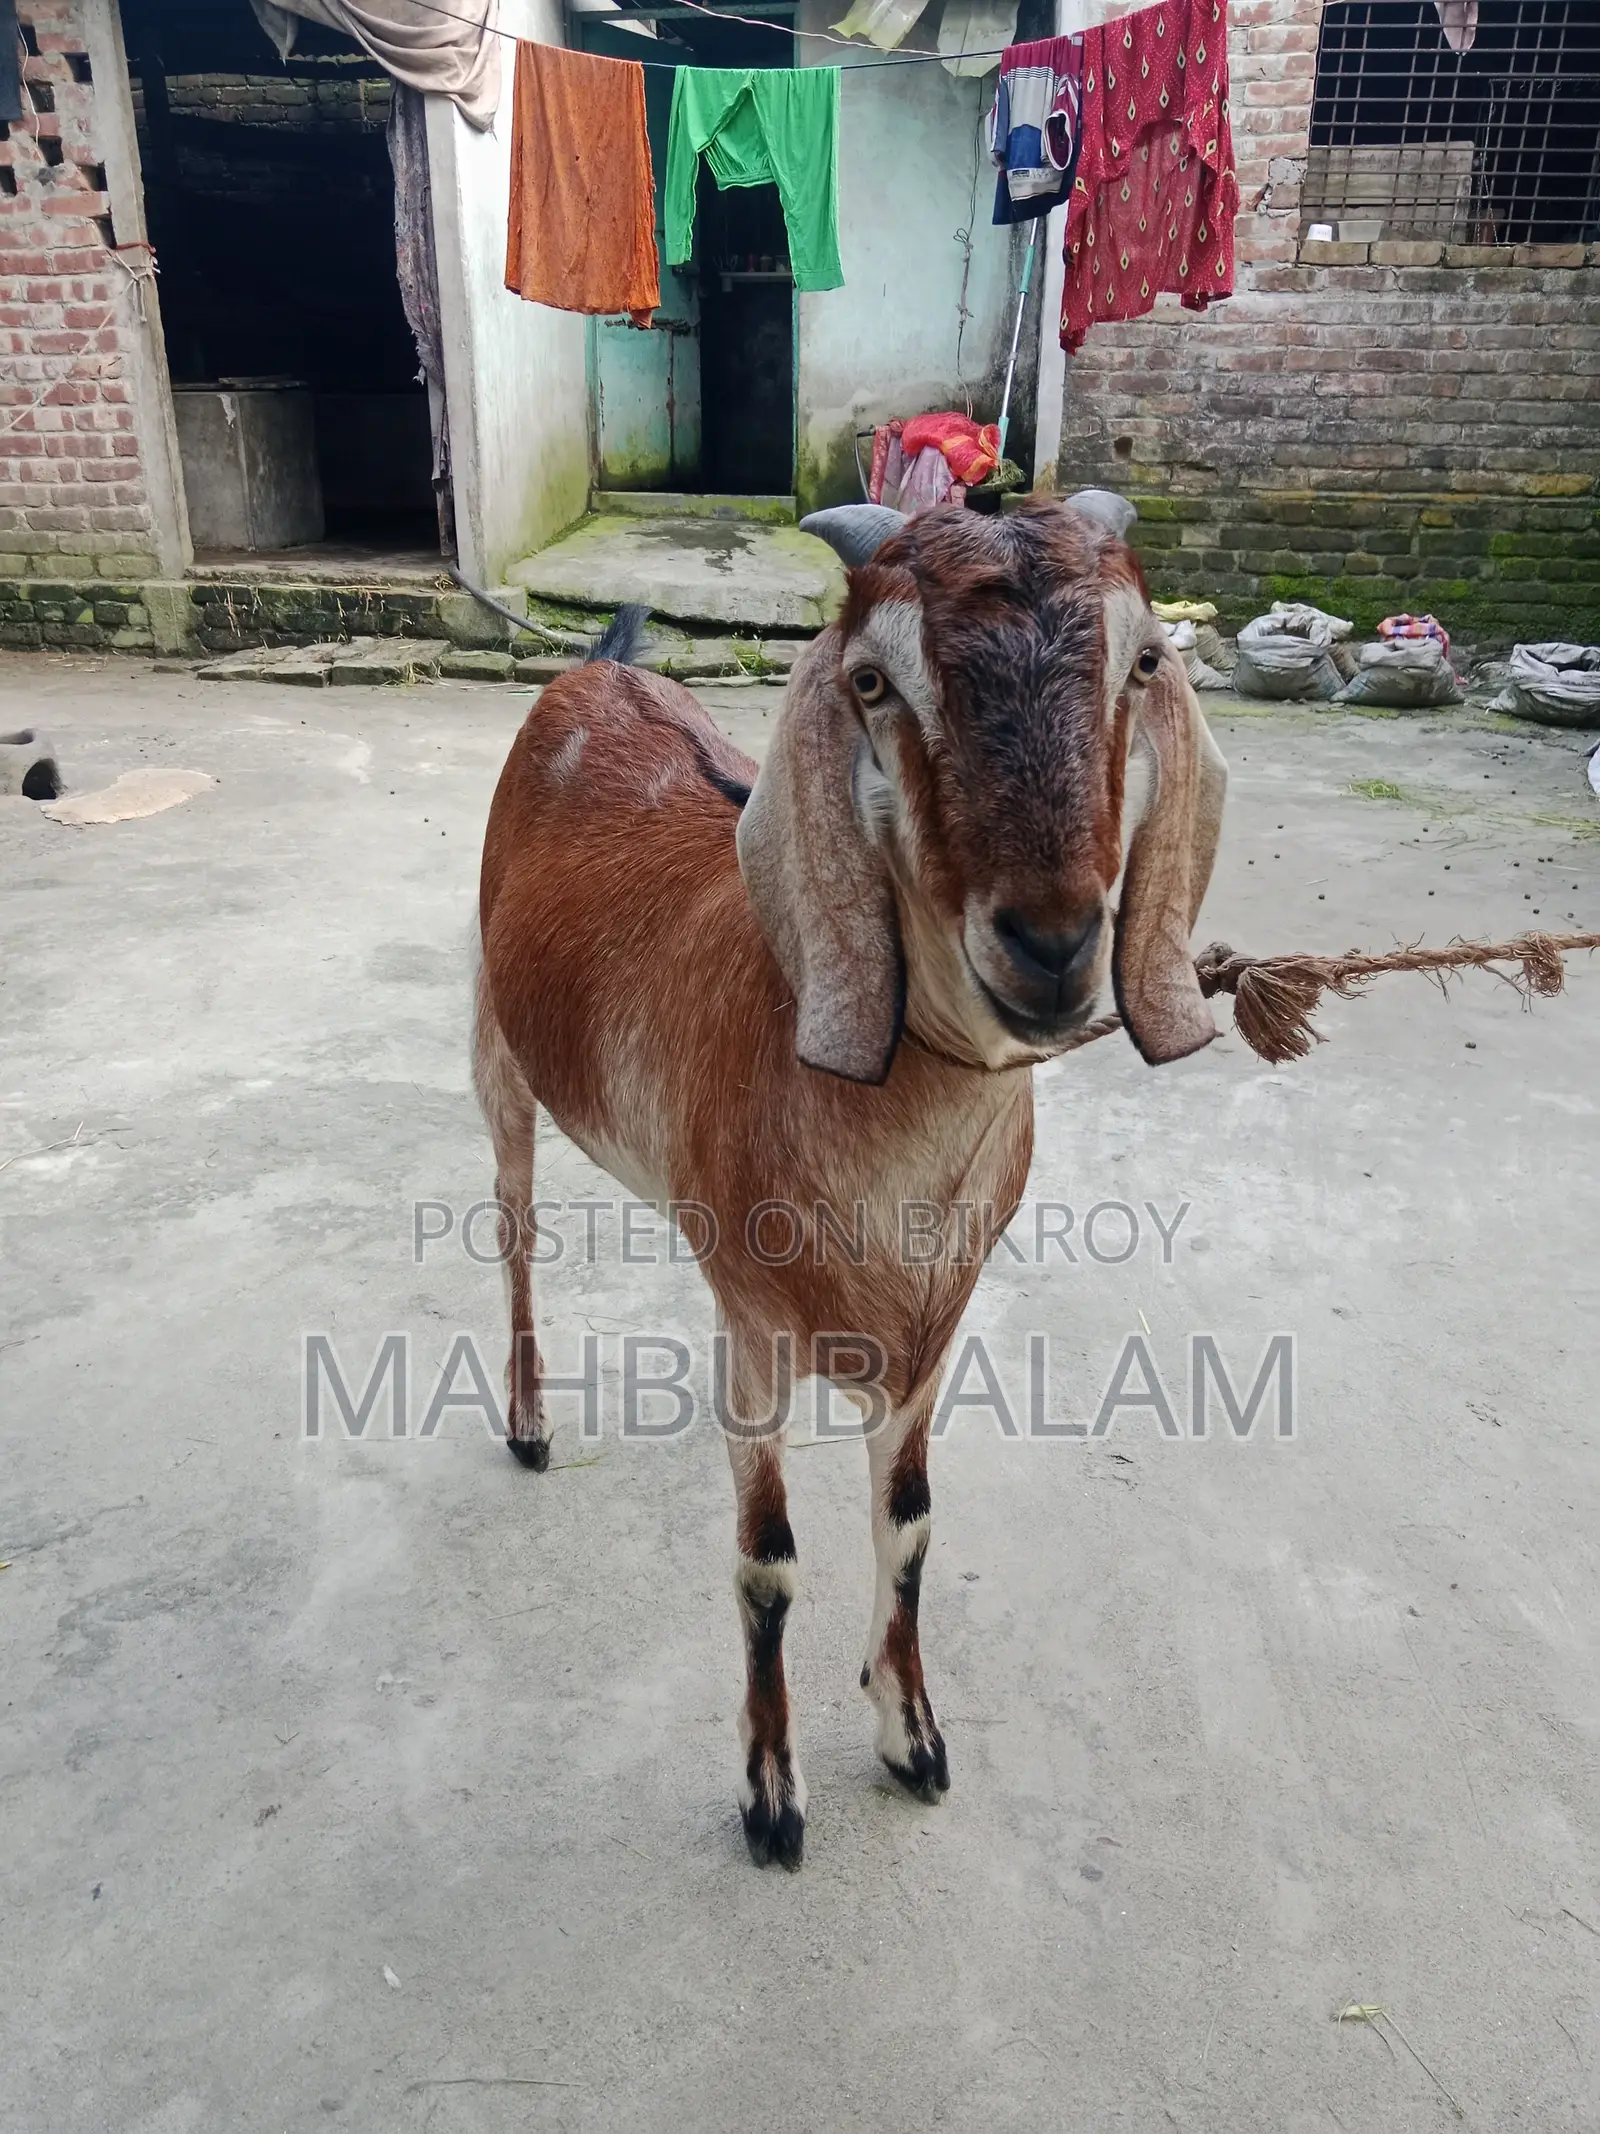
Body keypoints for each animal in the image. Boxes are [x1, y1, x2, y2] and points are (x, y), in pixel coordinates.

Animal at [474, 497, 1227, 1869]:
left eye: (1142, 660)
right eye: (873, 681)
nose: (1051, 942)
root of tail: (595, 669)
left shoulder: (935, 1329)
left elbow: (912, 1521)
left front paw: (909, 1730)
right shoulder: (762, 1326)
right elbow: (767, 1559)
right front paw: (773, 1797)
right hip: (492, 1046)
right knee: (514, 1230)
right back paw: (530, 1421)